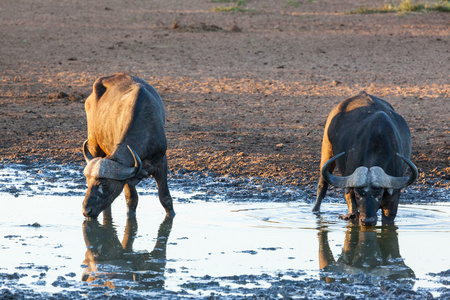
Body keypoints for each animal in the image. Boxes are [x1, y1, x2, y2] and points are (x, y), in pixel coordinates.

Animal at [81, 72, 173, 218]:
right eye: (87, 182)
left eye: (104, 184)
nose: (86, 211)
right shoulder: (128, 178)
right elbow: (132, 200)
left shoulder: (161, 162)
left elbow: (165, 199)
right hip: (94, 145)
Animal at [312, 91, 418, 225]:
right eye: (358, 195)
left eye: (379, 195)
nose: (368, 220)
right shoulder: (350, 190)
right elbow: (354, 211)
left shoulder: (393, 198)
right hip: (327, 149)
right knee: (322, 184)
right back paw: (315, 210)